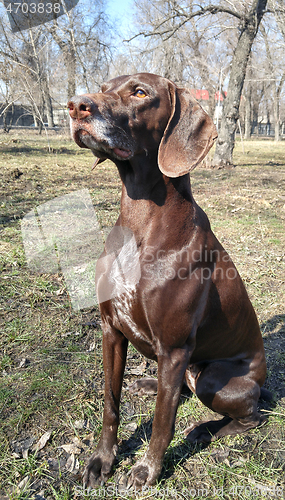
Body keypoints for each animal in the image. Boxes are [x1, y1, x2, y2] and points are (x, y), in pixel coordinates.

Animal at [67, 74, 268, 488]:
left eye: (140, 93)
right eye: (103, 87)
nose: (76, 106)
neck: (140, 221)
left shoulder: (174, 349)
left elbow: (162, 421)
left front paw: (147, 469)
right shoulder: (111, 329)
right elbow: (110, 404)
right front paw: (102, 459)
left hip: (212, 377)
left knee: (250, 416)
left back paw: (206, 431)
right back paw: (150, 384)